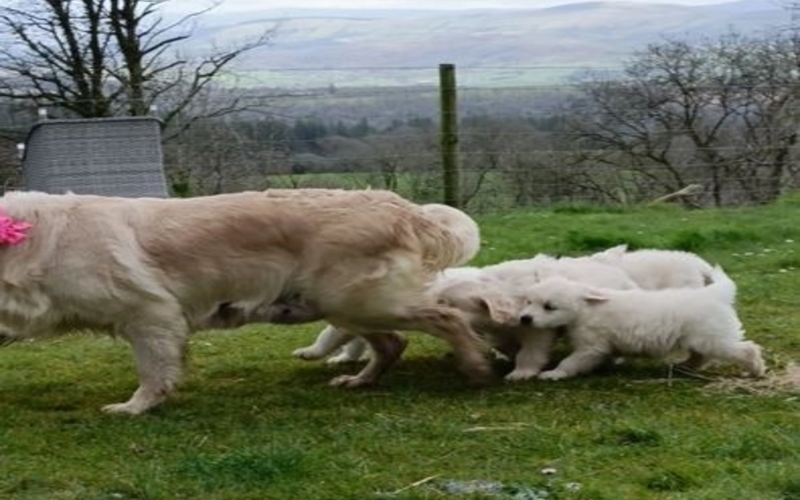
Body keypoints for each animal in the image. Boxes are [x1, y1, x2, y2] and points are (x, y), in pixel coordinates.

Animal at [516, 266, 764, 378]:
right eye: (528, 301)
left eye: (549, 307)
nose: (525, 318)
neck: (585, 309)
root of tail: (714, 294)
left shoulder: (591, 347)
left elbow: (570, 362)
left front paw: (553, 374)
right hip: (700, 338)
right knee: (700, 356)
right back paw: (683, 366)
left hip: (713, 338)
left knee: (746, 349)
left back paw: (756, 369)